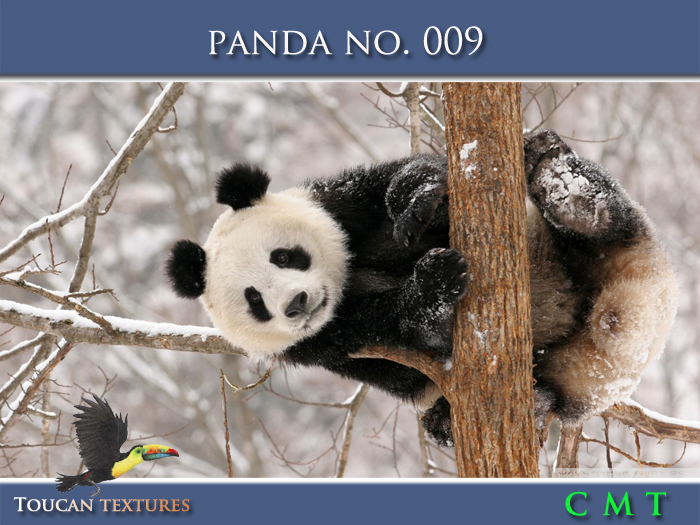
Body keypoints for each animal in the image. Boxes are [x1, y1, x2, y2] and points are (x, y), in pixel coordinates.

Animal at [166, 130, 679, 446]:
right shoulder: (324, 344)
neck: (348, 281)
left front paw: (417, 200)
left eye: (285, 256)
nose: (296, 303)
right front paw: (434, 283)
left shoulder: (342, 205)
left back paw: (564, 187)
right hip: (566, 367)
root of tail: (625, 319)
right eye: (254, 300)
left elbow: (408, 182)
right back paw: (499, 409)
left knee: (607, 221)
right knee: (548, 391)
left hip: (596, 248)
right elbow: (404, 351)